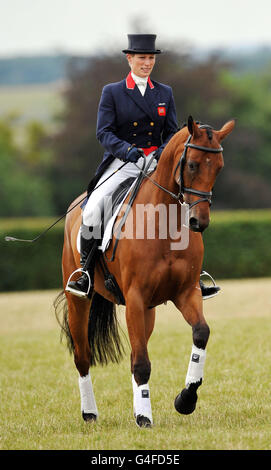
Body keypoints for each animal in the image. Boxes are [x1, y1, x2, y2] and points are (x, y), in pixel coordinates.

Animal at [55, 115, 236, 428]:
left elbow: (201, 333)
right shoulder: (135, 298)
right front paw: (144, 418)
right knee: (83, 357)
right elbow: (142, 363)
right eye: (192, 165)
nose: (198, 222)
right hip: (80, 301)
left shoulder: (185, 293)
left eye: (219, 167)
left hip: (147, 310)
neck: (164, 224)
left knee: (133, 353)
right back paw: (90, 413)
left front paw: (186, 399)